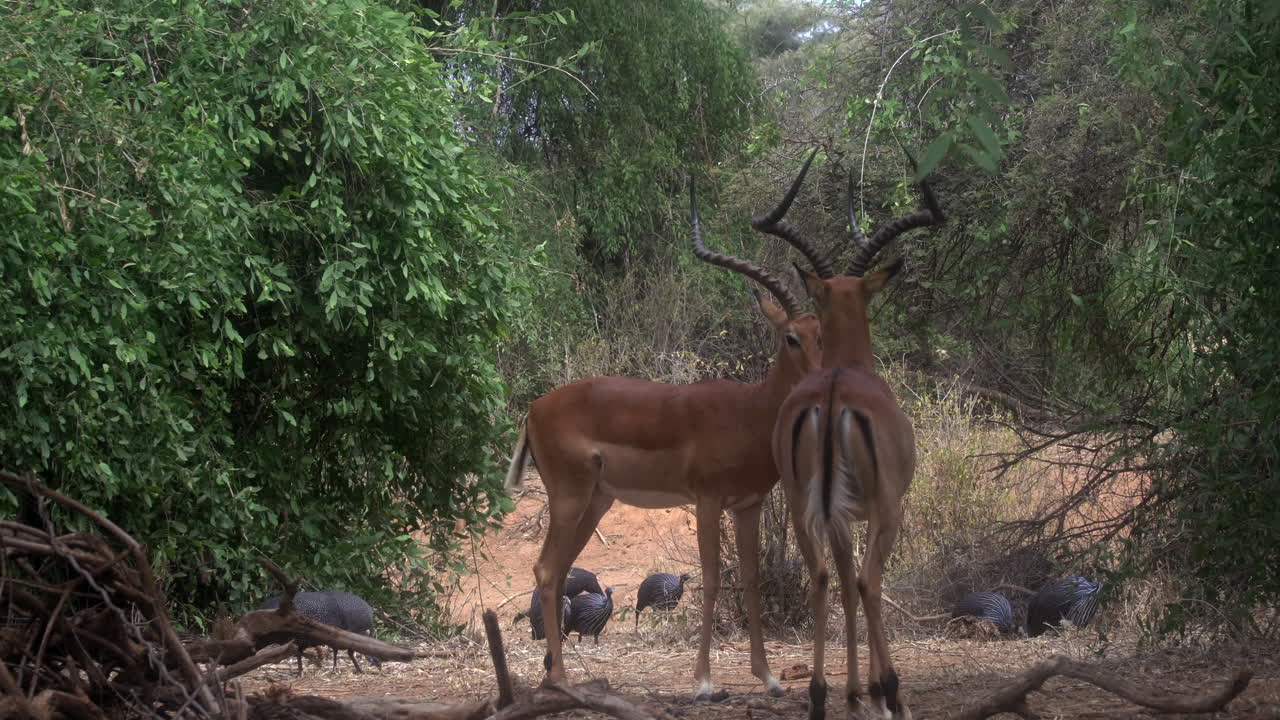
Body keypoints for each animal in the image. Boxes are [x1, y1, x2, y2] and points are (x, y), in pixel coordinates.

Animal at [505, 175, 833, 699]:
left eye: (823, 332)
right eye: (791, 338)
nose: (823, 384)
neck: (750, 411)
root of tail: (535, 408)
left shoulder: (748, 504)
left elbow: (752, 578)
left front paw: (768, 678)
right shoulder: (708, 500)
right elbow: (713, 578)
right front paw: (703, 683)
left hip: (596, 500)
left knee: (558, 571)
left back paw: (556, 674)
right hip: (570, 496)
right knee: (546, 570)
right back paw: (560, 681)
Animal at [771, 153, 944, 720]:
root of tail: (831, 396)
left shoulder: (840, 515)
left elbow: (843, 583)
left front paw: (851, 691)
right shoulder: (875, 511)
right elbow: (864, 583)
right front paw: (875, 689)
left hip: (805, 507)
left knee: (826, 576)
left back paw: (819, 694)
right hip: (888, 510)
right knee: (869, 581)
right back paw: (892, 690)